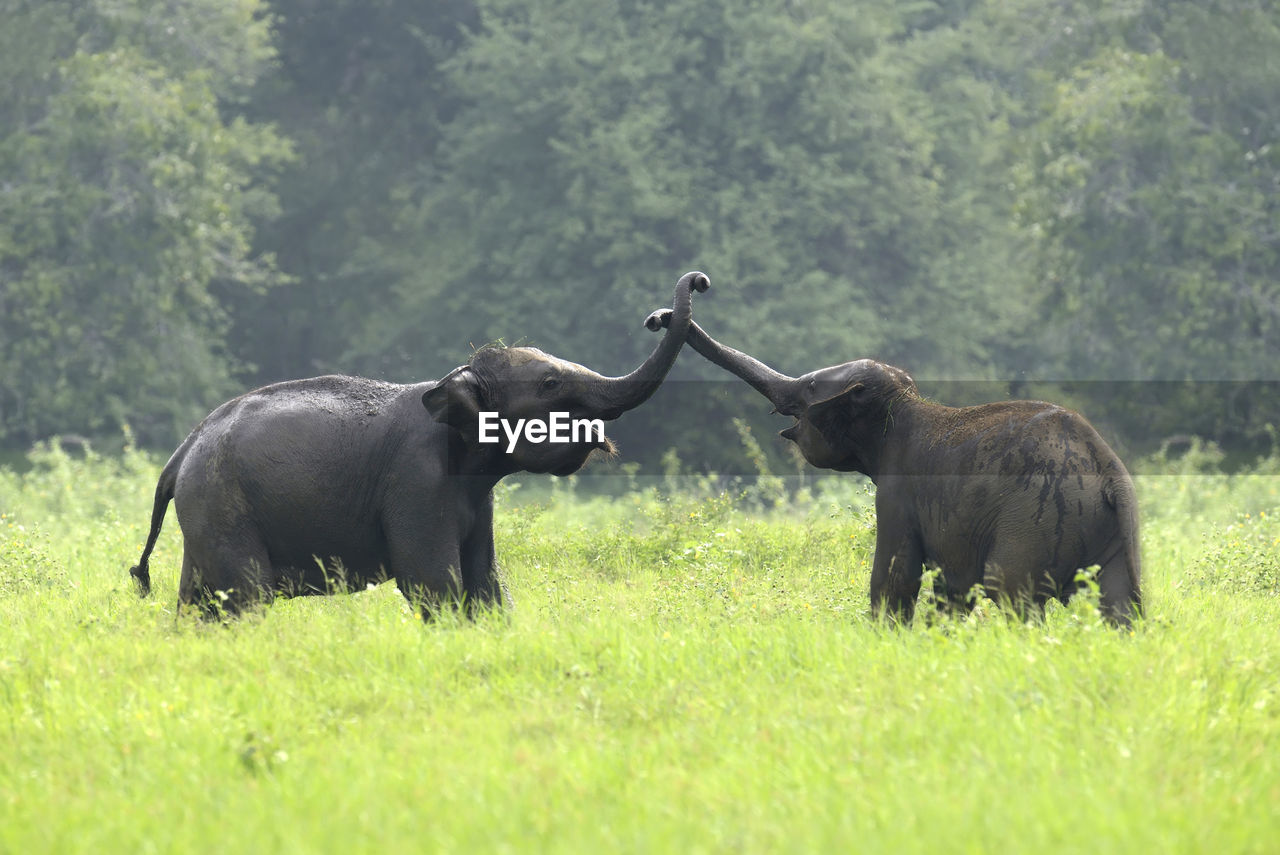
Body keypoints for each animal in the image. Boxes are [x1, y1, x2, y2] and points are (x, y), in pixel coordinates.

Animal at [126, 270, 711, 616]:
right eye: (549, 384)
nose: (693, 286)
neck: (450, 382)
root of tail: (180, 456)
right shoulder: (416, 484)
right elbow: (434, 584)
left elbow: (487, 584)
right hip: (224, 505)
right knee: (242, 597)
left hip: (208, 512)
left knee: (199, 601)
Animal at [650, 308, 1141, 627]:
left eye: (809, 386)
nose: (660, 317)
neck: (904, 405)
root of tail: (1105, 469)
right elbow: (950, 588)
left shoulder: (897, 493)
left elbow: (895, 577)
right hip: (1114, 533)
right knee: (1121, 607)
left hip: (1034, 522)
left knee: (1010, 595)